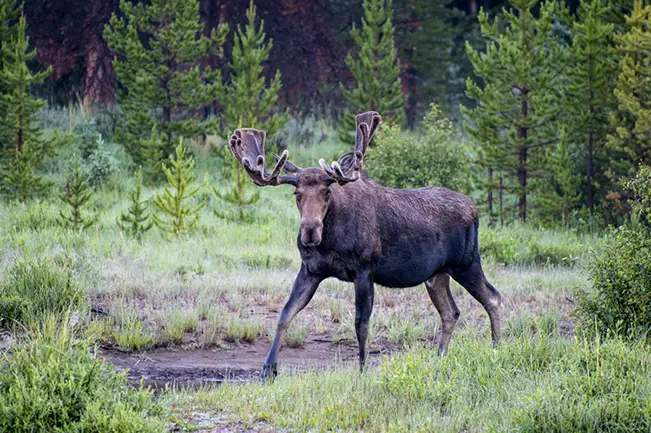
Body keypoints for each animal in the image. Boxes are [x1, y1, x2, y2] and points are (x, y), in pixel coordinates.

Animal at [228, 111, 502, 379]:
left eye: (327, 192)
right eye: (297, 194)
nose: (310, 232)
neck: (330, 241)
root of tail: (475, 210)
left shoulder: (364, 271)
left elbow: (361, 323)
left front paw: (362, 370)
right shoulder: (310, 270)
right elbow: (285, 314)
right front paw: (268, 369)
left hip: (466, 263)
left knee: (493, 298)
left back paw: (496, 349)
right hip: (436, 275)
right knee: (450, 312)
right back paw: (440, 358)